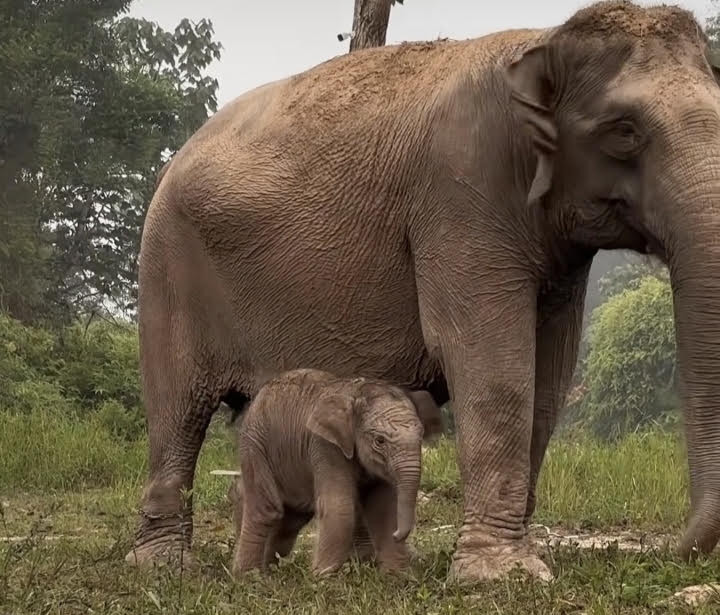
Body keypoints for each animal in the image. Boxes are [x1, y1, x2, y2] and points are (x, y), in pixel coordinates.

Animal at [228, 369, 442, 575]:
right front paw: (324, 579)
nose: (397, 535)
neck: (357, 393)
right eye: (379, 441)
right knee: (267, 509)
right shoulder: (325, 445)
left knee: (292, 519)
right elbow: (339, 505)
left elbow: (382, 508)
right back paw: (248, 576)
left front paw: (398, 577)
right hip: (255, 444)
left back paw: (269, 569)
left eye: (422, 436)